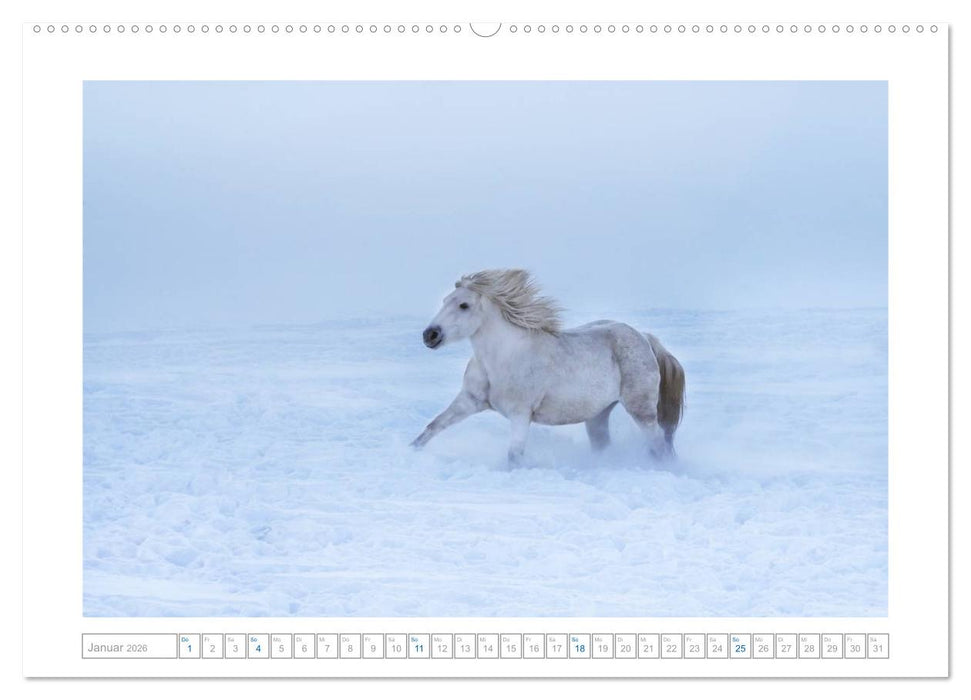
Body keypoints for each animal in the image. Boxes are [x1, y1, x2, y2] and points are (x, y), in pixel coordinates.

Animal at [410, 269, 685, 465]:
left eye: (464, 305)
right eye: (445, 300)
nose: (430, 335)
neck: (501, 358)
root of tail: (645, 338)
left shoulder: (521, 414)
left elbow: (514, 456)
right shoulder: (469, 401)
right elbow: (432, 427)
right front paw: (410, 453)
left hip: (641, 409)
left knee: (659, 444)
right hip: (597, 415)